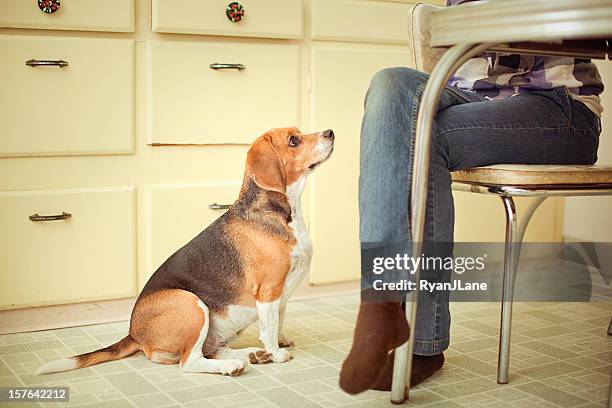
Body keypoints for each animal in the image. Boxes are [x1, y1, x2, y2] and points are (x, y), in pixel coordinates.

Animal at [38, 126, 334, 376]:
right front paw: (277, 352)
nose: (330, 132)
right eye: (293, 140)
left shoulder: (281, 294)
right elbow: (270, 327)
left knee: (208, 351)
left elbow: (278, 322)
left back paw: (252, 354)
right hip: (190, 304)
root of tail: (134, 333)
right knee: (188, 362)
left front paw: (278, 345)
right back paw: (234, 364)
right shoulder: (269, 290)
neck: (284, 213)